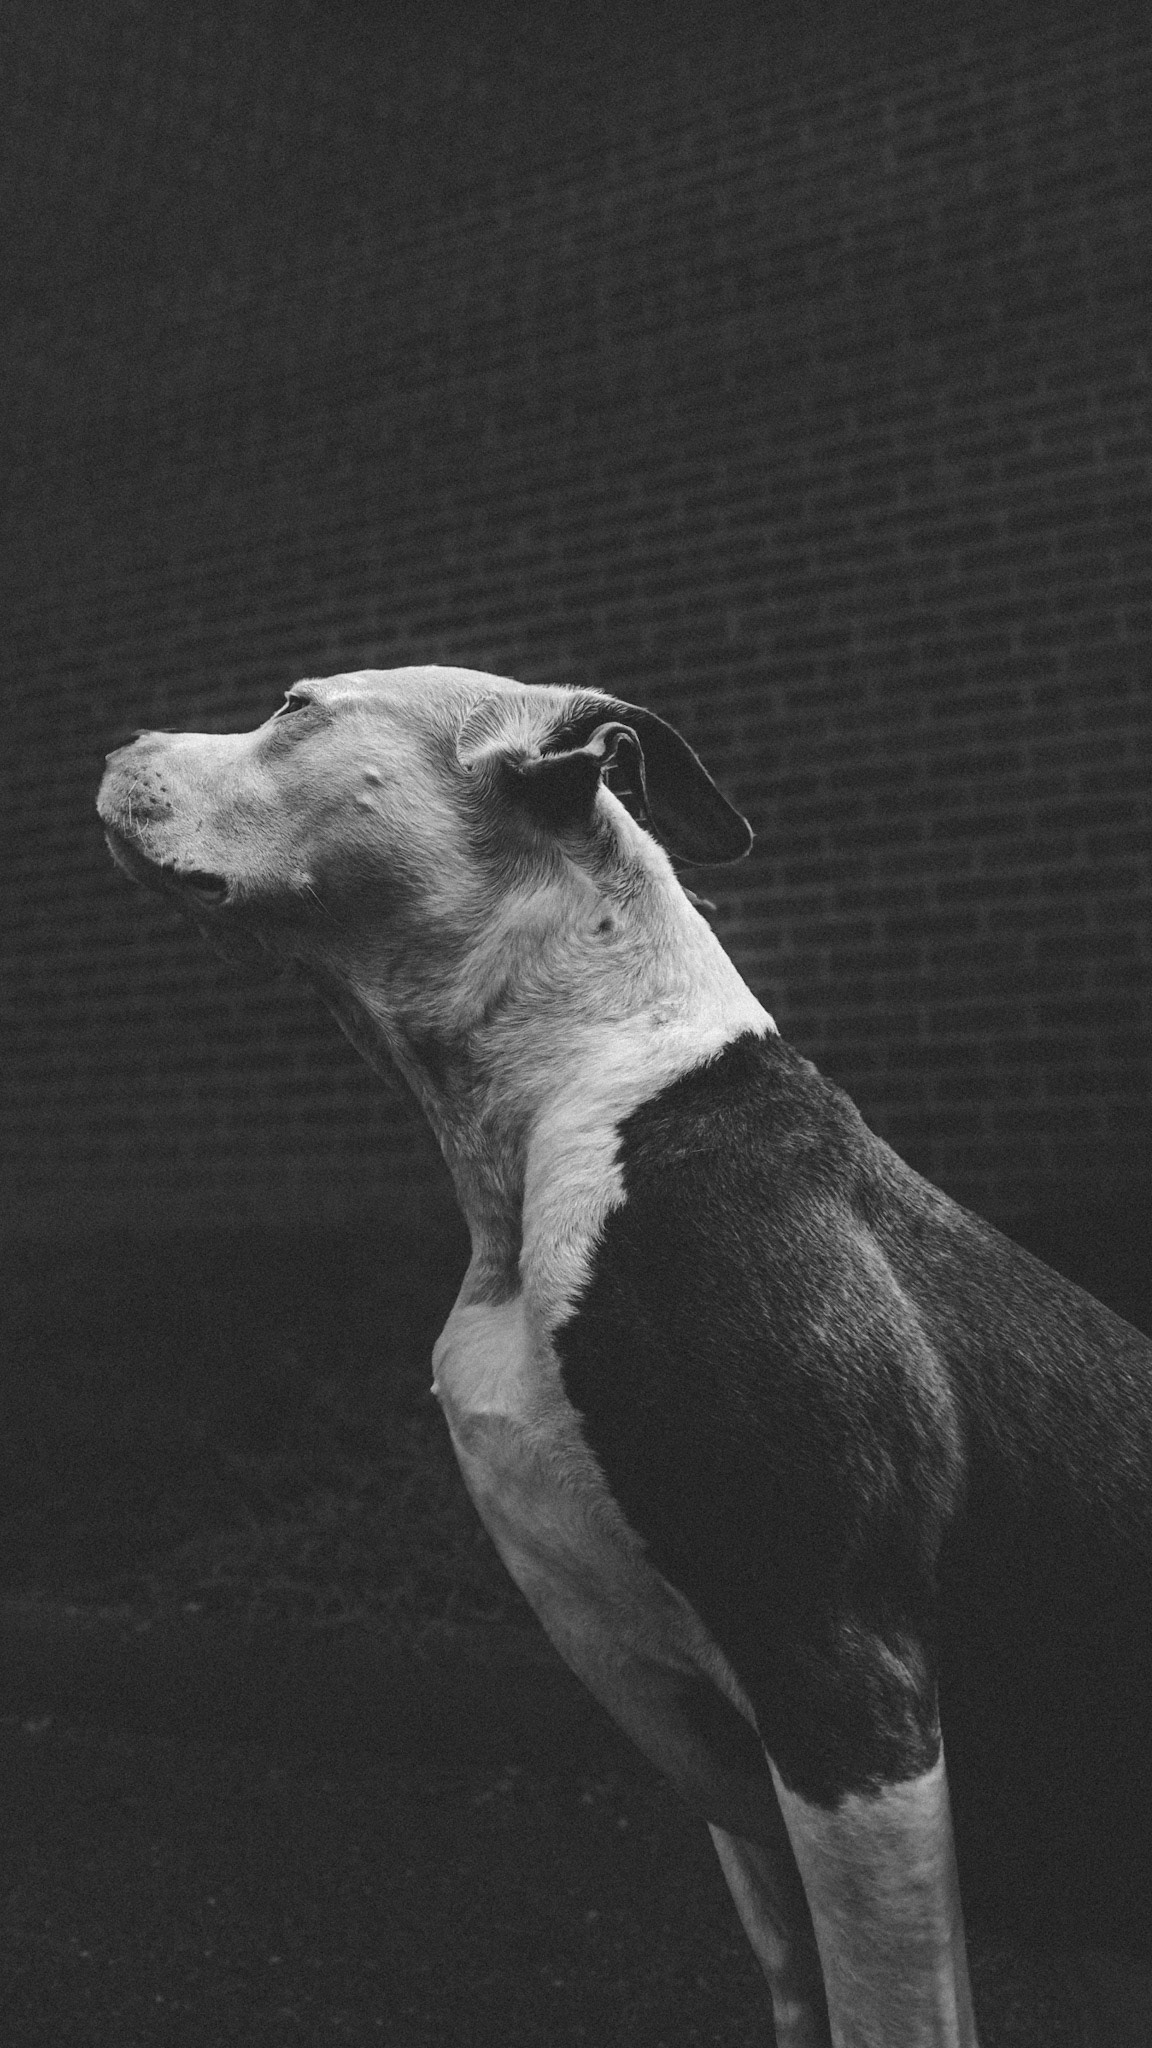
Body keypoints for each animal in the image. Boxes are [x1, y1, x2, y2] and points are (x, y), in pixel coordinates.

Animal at [99, 665, 1152, 2046]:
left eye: (295, 705)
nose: (116, 741)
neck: (569, 1101)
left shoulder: (843, 1675)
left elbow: (890, 2005)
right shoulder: (717, 1742)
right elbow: (799, 1978)